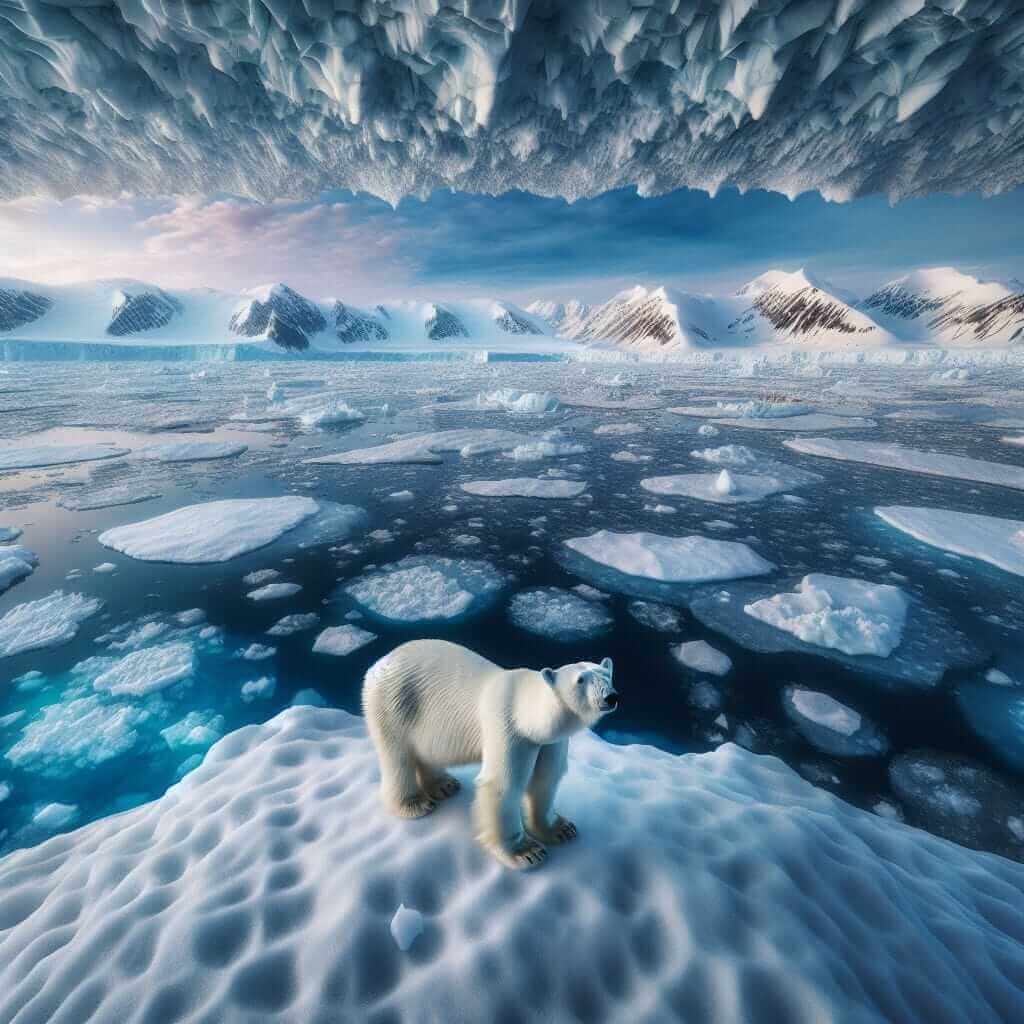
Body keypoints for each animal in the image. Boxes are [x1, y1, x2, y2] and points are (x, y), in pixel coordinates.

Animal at [362, 643, 614, 868]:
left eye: (608, 675)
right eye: (580, 680)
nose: (611, 697)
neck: (527, 712)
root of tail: (378, 662)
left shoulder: (549, 742)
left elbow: (546, 779)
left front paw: (561, 829)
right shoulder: (508, 727)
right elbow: (503, 784)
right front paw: (527, 853)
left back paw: (444, 785)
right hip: (394, 704)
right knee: (397, 757)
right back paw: (414, 804)